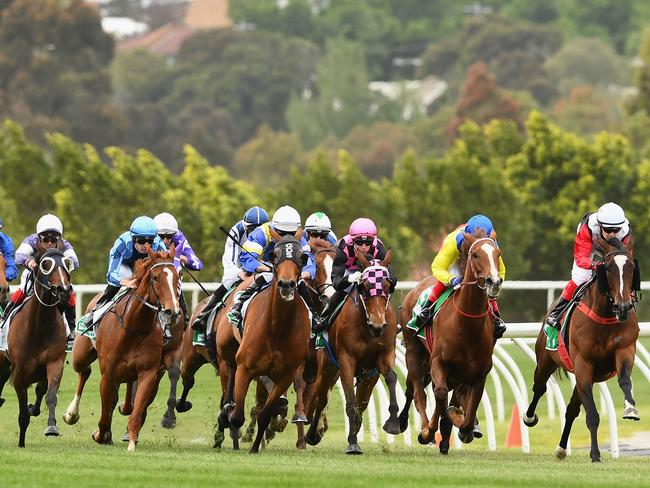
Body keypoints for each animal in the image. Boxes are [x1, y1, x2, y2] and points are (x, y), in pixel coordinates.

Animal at [0, 248, 73, 446]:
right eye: (46, 264)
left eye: (66, 263)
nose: (63, 289)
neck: (39, 327)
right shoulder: (19, 374)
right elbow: (22, 415)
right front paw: (21, 443)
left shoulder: (55, 363)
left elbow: (50, 396)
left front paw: (51, 427)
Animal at [220, 232, 312, 454]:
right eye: (275, 255)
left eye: (302, 256)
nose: (286, 285)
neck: (277, 329)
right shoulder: (245, 367)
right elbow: (237, 416)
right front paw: (229, 417)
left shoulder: (285, 376)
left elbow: (265, 414)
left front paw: (255, 447)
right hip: (227, 349)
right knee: (229, 368)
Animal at [304, 250, 400, 456]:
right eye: (364, 286)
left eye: (387, 286)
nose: (378, 325)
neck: (366, 327)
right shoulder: (346, 361)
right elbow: (349, 402)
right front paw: (353, 443)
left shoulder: (383, 357)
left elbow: (391, 378)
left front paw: (393, 422)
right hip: (327, 367)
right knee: (321, 398)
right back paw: (312, 434)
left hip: (367, 376)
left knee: (361, 403)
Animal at [416, 232, 502, 454]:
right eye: (475, 254)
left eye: (498, 254)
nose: (494, 281)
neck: (466, 325)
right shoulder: (438, 362)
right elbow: (440, 394)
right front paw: (430, 431)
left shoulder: (479, 373)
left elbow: (467, 417)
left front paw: (463, 424)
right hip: (414, 354)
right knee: (420, 394)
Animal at [520, 235, 636, 462]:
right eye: (608, 267)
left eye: (631, 267)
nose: (623, 306)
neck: (605, 315)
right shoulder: (583, 363)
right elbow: (592, 415)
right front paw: (595, 454)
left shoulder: (625, 351)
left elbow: (625, 380)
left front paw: (630, 409)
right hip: (546, 361)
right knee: (539, 387)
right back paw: (529, 417)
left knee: (571, 409)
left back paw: (561, 448)